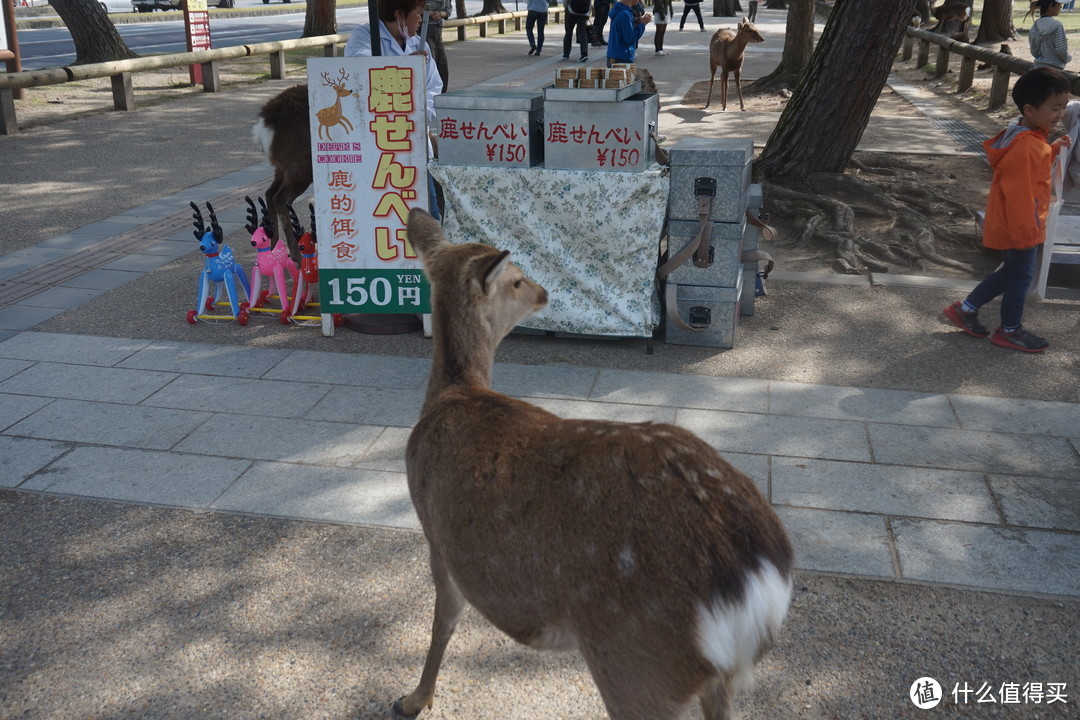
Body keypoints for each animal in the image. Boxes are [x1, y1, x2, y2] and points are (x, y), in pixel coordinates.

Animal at [395, 207, 794, 720]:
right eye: (518, 280)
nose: (544, 291)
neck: (453, 392)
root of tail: (756, 580)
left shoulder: (435, 534)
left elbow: (442, 622)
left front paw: (414, 698)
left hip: (635, 658)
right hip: (704, 676)